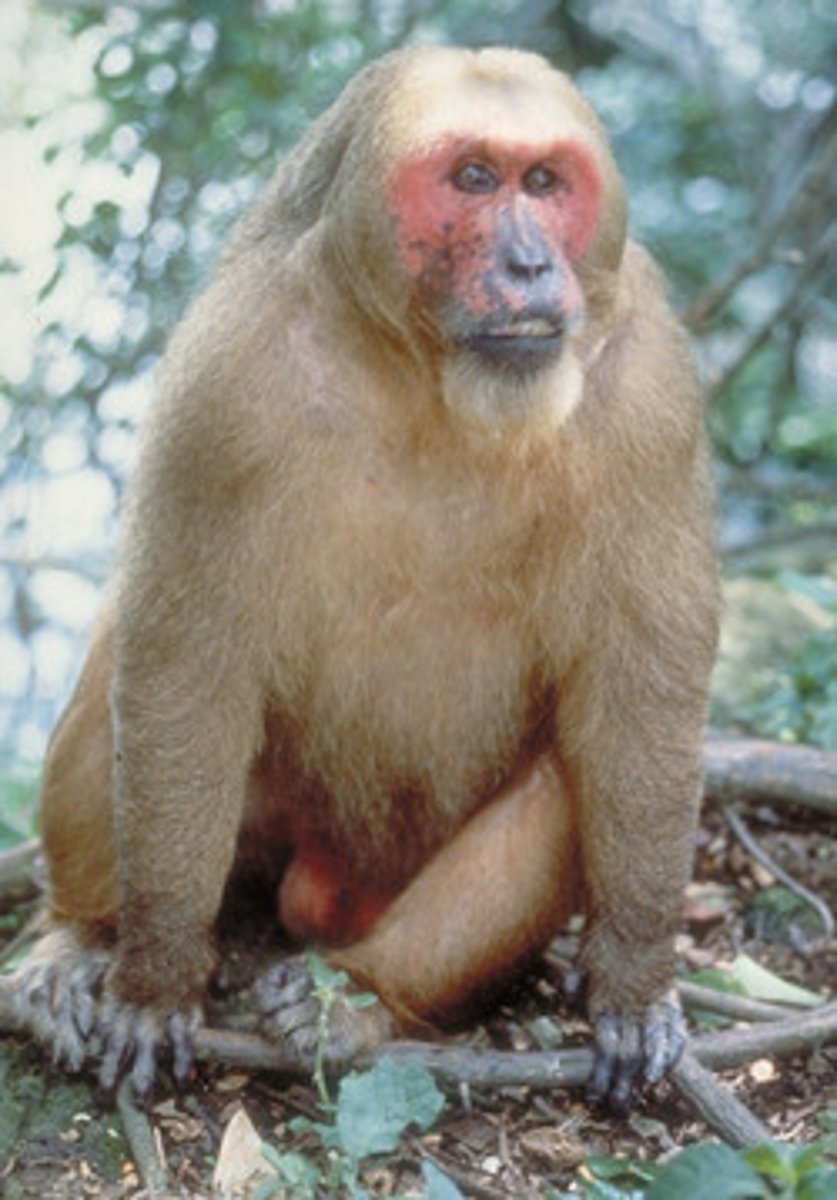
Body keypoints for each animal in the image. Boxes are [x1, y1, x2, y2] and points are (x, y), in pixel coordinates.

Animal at [15, 45, 719, 1112]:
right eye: (472, 178)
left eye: (544, 184)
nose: (529, 265)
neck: (426, 365)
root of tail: (334, 891)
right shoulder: (227, 381)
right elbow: (186, 663)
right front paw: (155, 976)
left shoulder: (649, 386)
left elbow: (639, 695)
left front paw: (635, 983)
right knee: (133, 662)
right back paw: (87, 936)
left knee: (573, 775)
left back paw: (362, 997)